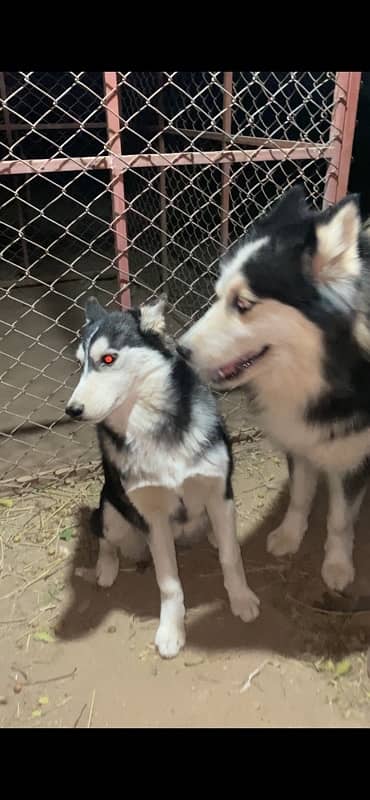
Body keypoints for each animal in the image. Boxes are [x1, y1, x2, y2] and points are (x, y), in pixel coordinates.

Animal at [65, 294, 258, 656]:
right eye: (79, 363)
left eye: (108, 359)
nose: (72, 410)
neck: (151, 426)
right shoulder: (152, 517)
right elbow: (169, 583)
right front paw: (171, 629)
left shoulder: (219, 492)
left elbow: (230, 556)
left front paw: (240, 598)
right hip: (111, 511)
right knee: (104, 536)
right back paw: (105, 568)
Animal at [181, 184, 370, 592]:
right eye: (217, 294)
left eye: (242, 303)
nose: (179, 351)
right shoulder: (299, 440)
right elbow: (299, 495)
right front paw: (289, 535)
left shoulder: (355, 453)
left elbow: (339, 518)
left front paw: (337, 564)